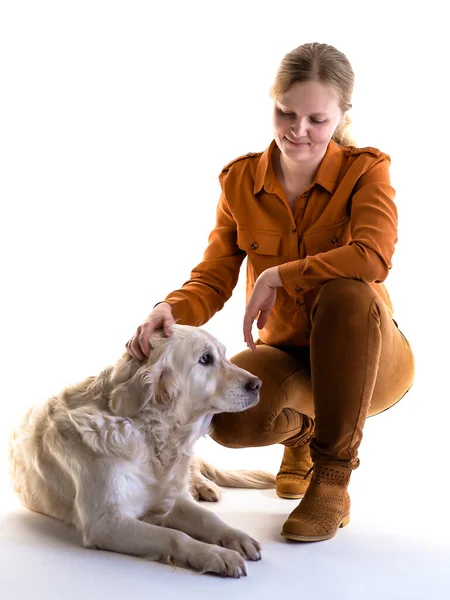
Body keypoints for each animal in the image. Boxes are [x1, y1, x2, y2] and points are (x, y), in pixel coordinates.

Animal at [10, 326, 276, 580]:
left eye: (223, 354)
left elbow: (207, 518)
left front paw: (236, 537)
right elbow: (175, 536)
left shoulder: (168, 499)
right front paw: (217, 555)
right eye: (205, 359)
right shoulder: (105, 522)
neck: (150, 434)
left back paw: (205, 487)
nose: (258, 384)